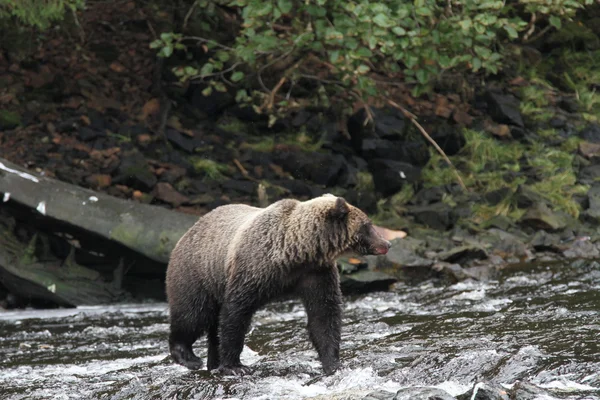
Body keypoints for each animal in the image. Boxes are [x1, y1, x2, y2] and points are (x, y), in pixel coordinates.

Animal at [165, 194, 390, 376]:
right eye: (368, 225)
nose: (387, 244)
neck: (295, 252)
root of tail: (187, 233)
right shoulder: (252, 268)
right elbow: (236, 314)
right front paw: (235, 366)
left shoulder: (316, 273)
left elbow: (324, 315)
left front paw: (333, 364)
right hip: (197, 273)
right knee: (193, 313)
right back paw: (189, 357)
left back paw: (212, 363)